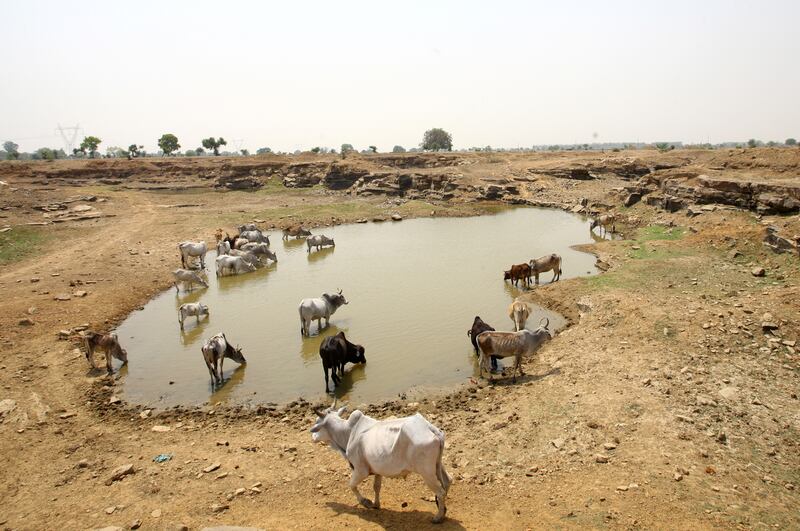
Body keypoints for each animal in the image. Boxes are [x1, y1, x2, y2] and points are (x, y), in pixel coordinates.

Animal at [310, 404, 450, 524]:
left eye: (317, 422)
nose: (313, 437)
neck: (347, 432)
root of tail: (431, 429)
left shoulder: (360, 470)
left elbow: (351, 485)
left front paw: (366, 502)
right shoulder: (377, 470)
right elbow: (376, 487)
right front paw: (376, 504)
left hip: (426, 472)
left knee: (441, 491)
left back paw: (438, 517)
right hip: (437, 465)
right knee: (448, 482)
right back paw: (443, 510)